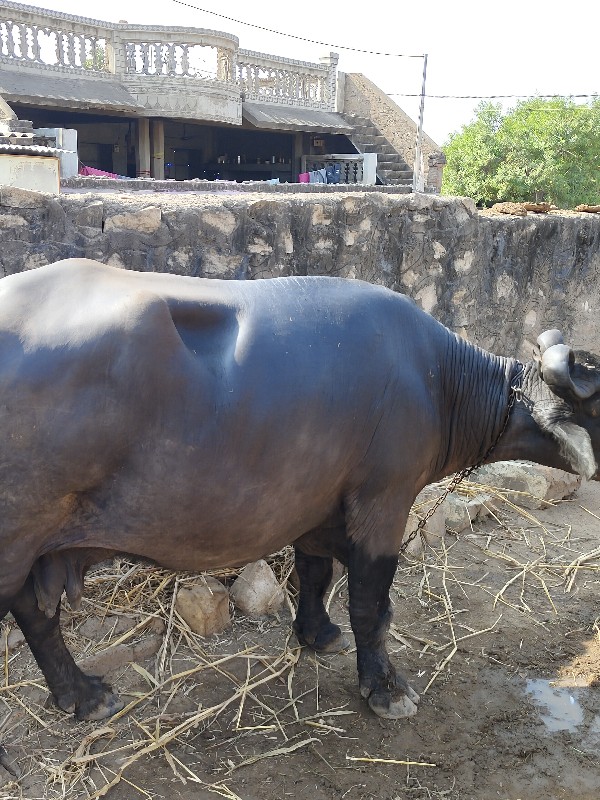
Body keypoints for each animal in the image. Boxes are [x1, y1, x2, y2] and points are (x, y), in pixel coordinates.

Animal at [0, 260, 596, 720]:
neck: (437, 381)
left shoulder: (314, 502)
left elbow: (315, 572)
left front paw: (316, 633)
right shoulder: (383, 500)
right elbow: (371, 603)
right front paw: (386, 689)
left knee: (36, 615)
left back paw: (81, 695)